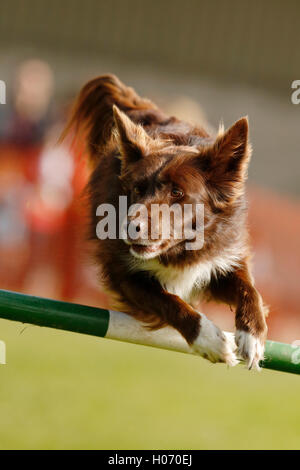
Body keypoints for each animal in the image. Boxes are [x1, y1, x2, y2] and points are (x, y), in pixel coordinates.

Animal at [62, 73, 268, 370]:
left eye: (177, 192)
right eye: (137, 189)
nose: (128, 227)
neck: (178, 251)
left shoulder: (221, 257)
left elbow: (249, 289)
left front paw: (253, 336)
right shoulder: (123, 275)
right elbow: (170, 301)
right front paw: (209, 339)